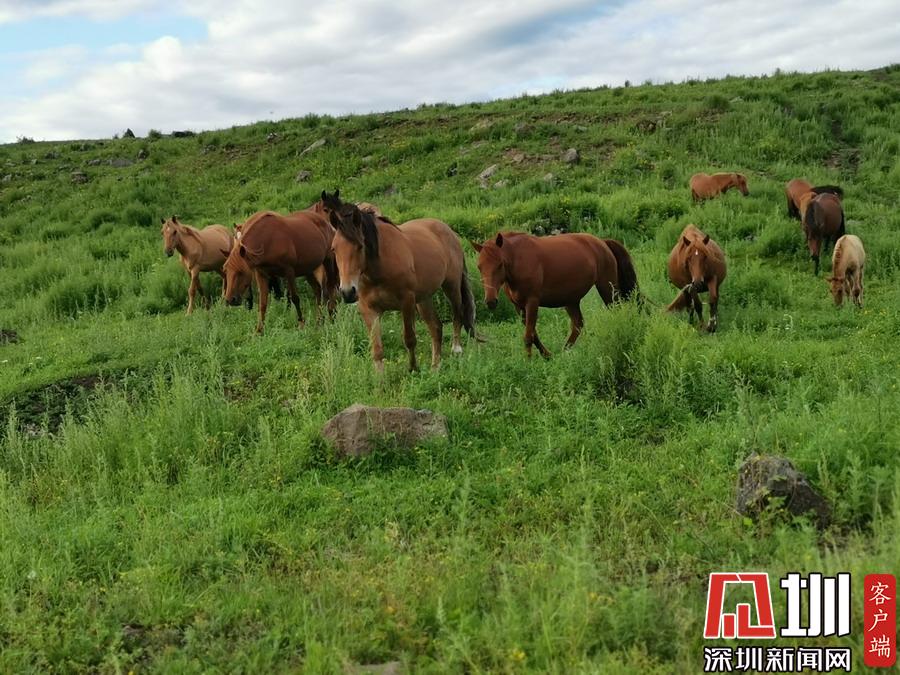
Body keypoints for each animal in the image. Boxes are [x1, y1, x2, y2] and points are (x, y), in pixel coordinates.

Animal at [318, 190, 475, 372]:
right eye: (334, 248)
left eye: (360, 246)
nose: (347, 292)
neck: (379, 271)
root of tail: (448, 230)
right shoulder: (368, 309)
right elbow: (377, 349)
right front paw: (380, 379)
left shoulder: (406, 302)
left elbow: (409, 338)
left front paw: (413, 369)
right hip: (424, 299)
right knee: (436, 327)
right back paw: (435, 367)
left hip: (451, 286)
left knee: (458, 313)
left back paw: (456, 349)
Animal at [470, 232, 638, 358]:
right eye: (479, 267)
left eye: (500, 264)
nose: (491, 301)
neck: (519, 260)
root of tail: (602, 242)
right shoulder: (519, 306)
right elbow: (533, 334)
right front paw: (547, 355)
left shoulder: (532, 302)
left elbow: (528, 336)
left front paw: (527, 362)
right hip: (571, 300)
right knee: (578, 325)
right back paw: (564, 352)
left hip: (607, 288)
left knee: (616, 311)